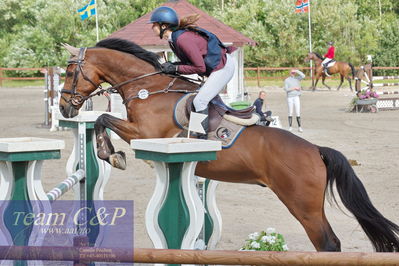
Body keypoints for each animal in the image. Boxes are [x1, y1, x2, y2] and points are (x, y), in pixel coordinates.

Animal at [59, 38, 399, 252]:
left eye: (69, 71)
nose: (64, 108)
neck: (148, 87)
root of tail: (316, 151)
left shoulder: (144, 133)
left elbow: (103, 118)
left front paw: (111, 154)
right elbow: (103, 118)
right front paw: (111, 153)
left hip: (303, 205)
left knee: (327, 243)